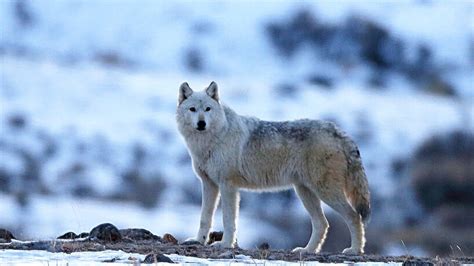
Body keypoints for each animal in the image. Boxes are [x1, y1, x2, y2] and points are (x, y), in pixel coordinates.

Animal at [174, 81, 370, 254]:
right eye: (193, 109)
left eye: (208, 109)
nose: (201, 123)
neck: (210, 141)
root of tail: (339, 132)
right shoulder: (209, 185)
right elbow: (204, 218)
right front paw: (198, 241)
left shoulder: (228, 186)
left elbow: (228, 220)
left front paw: (225, 245)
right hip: (305, 192)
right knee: (322, 224)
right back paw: (307, 250)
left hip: (324, 192)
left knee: (354, 217)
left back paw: (355, 250)